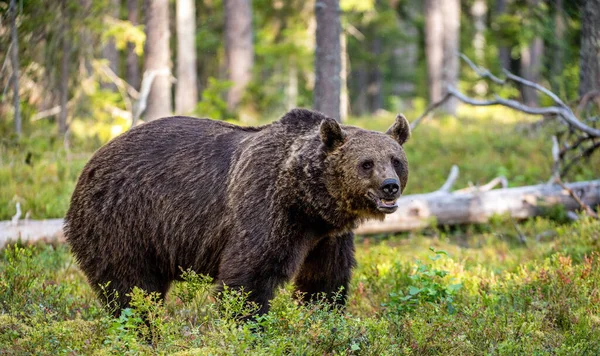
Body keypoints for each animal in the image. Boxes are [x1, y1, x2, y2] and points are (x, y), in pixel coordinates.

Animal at [67, 108, 412, 314]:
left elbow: (325, 280)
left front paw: (323, 314)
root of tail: (90, 164)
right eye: (366, 163)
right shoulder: (266, 208)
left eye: (396, 160)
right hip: (123, 221)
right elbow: (248, 278)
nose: (390, 187)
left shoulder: (328, 237)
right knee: (130, 288)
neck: (307, 202)